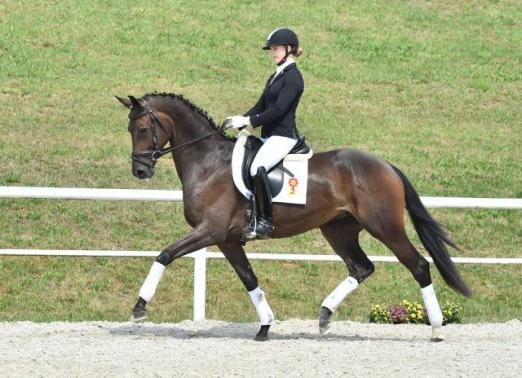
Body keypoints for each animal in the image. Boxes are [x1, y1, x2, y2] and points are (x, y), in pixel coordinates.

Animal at [116, 92, 470, 342]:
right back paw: (325, 315)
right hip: (338, 230)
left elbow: (164, 255)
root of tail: (385, 166)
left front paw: (139, 308)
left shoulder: (210, 230)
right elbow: (250, 280)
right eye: (130, 128)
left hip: (385, 227)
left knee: (419, 265)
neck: (208, 163)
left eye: (144, 128)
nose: (140, 171)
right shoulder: (228, 240)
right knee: (361, 267)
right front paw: (264, 326)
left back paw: (436, 329)